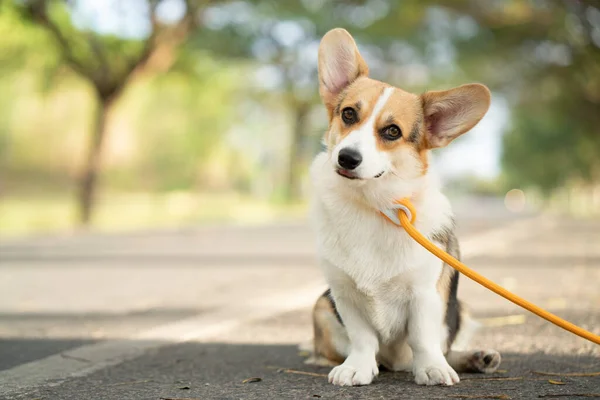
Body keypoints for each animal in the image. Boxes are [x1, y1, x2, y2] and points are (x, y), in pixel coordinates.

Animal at [308, 28, 500, 388]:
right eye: (348, 114)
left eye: (392, 131)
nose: (347, 158)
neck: (372, 205)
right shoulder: (343, 294)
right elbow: (362, 338)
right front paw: (357, 367)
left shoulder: (425, 294)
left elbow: (423, 338)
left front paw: (432, 369)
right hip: (321, 307)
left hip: (462, 309)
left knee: (445, 345)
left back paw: (476, 357)